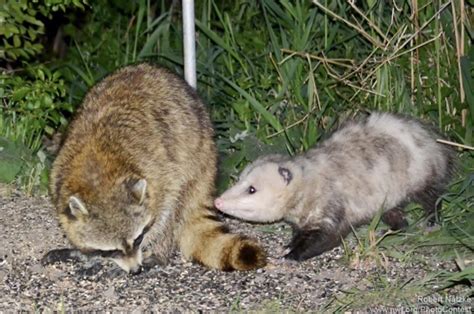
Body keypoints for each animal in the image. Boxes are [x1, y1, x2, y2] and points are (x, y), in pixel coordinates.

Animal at [47, 63, 266, 272]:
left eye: (138, 239)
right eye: (111, 250)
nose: (135, 270)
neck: (98, 171)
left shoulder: (160, 170)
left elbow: (164, 213)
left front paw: (154, 246)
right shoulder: (59, 172)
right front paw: (86, 254)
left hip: (196, 157)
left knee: (176, 206)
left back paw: (162, 250)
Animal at [213, 113, 454, 260]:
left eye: (252, 189)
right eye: (240, 180)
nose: (218, 201)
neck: (309, 182)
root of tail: (435, 141)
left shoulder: (333, 208)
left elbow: (328, 237)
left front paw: (293, 255)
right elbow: (300, 233)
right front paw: (290, 245)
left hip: (422, 178)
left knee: (432, 198)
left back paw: (431, 221)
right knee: (397, 216)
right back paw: (391, 229)